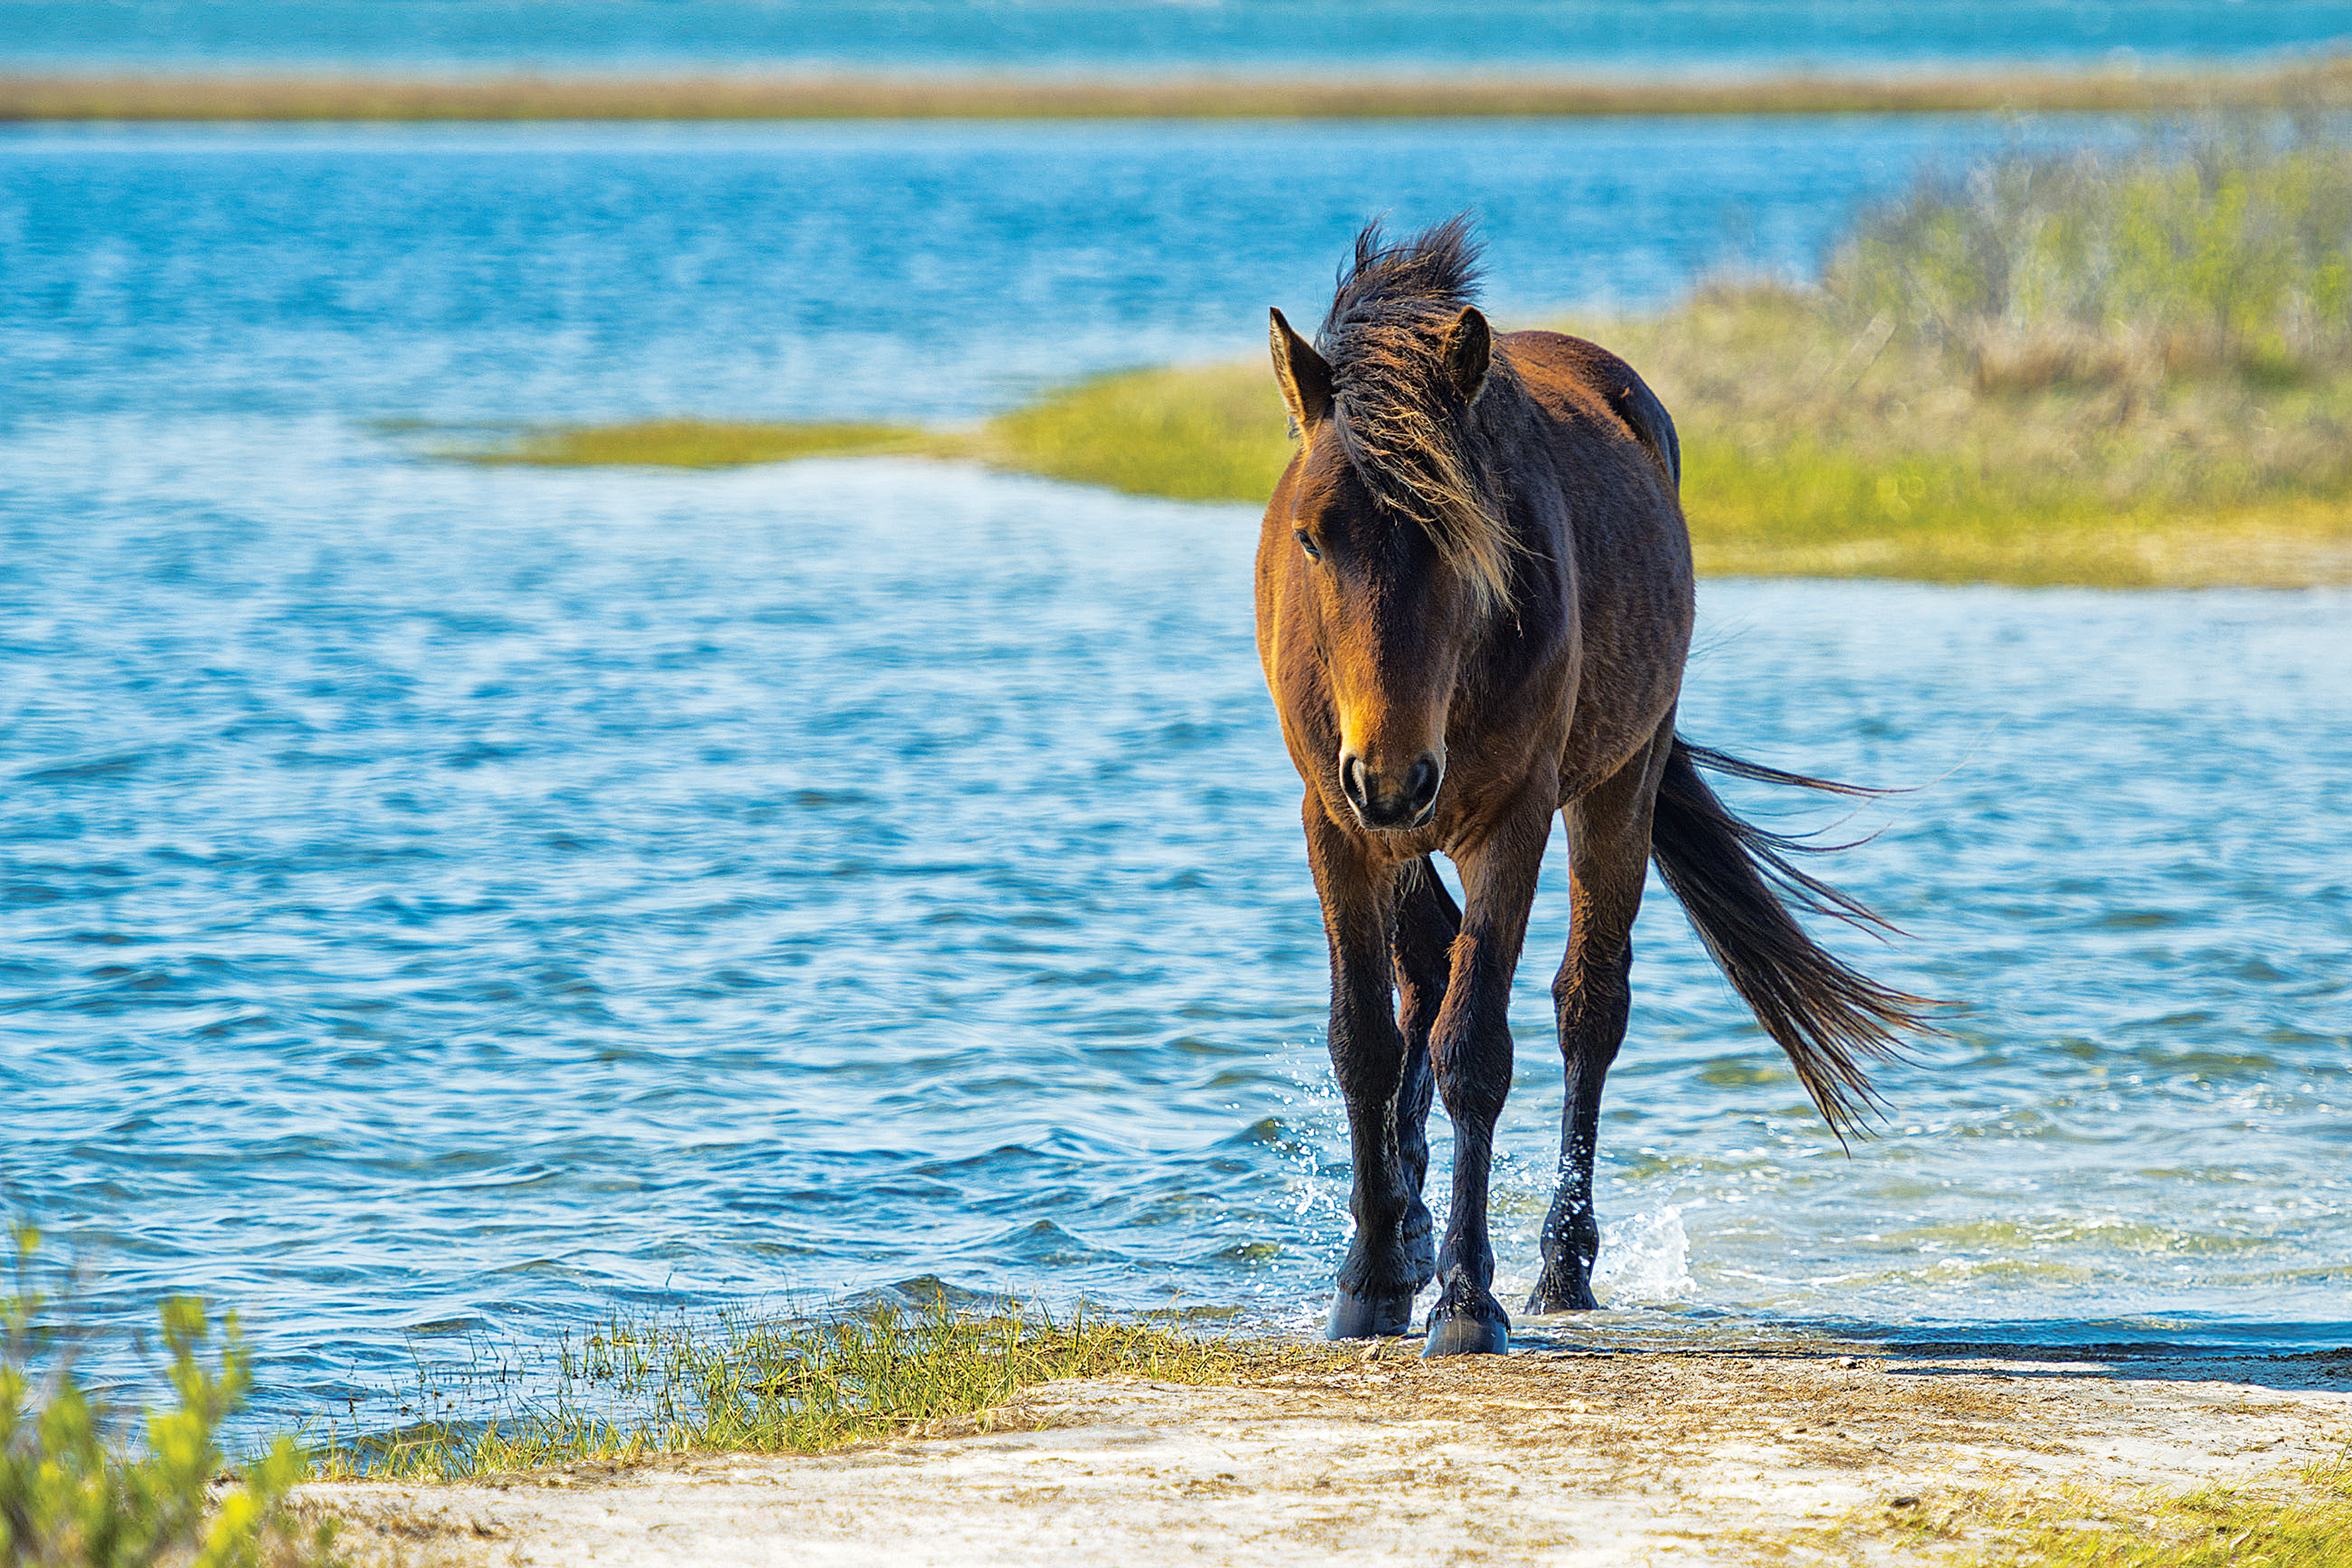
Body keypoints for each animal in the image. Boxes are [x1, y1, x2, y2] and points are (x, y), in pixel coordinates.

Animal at [1251, 220, 1928, 1363]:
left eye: (1458, 536)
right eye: (1309, 535)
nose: (1390, 774)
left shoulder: (1510, 822)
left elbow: (1475, 1049)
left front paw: (1465, 1300)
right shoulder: (1333, 819)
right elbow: (1364, 1043)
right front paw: (1372, 1274)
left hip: (1616, 784)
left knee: (1586, 1009)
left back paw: (1559, 1266)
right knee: (1424, 972)